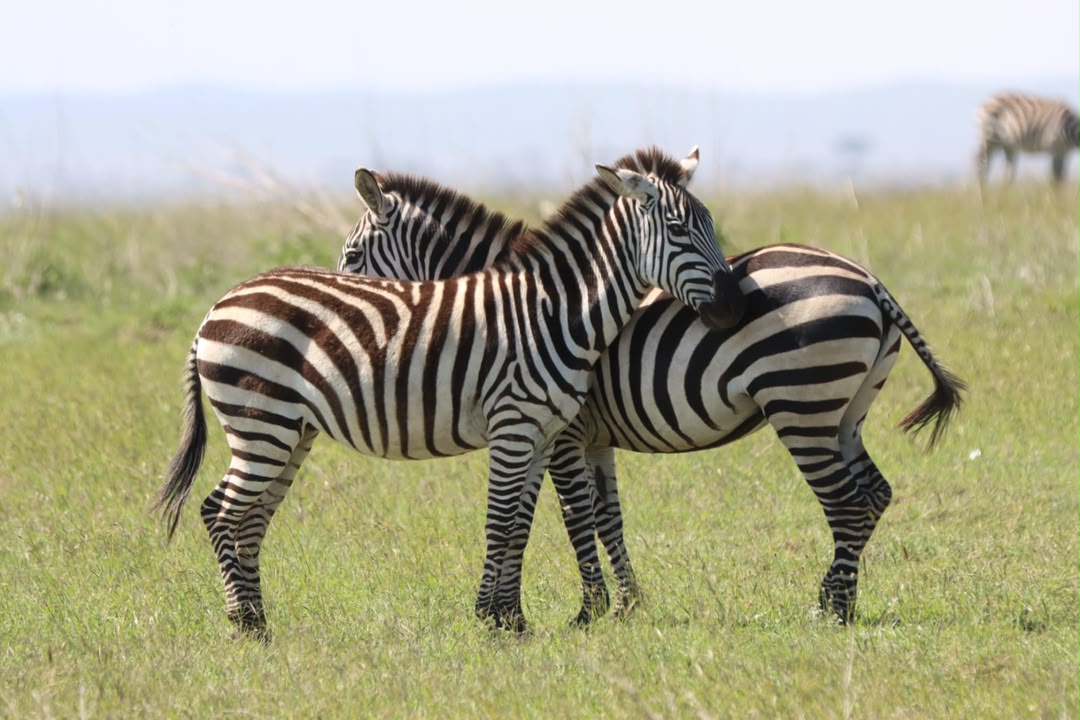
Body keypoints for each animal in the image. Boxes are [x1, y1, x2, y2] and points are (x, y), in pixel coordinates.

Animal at [156, 146, 746, 638]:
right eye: (678, 230)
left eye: (710, 226)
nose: (734, 306)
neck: (555, 309)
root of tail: (216, 307)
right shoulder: (520, 428)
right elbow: (515, 521)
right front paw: (497, 618)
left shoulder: (543, 433)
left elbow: (522, 526)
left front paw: (514, 620)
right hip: (262, 424)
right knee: (220, 511)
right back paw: (245, 626)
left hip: (288, 431)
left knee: (250, 517)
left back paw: (258, 622)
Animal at [338, 172, 966, 625]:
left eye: (349, 259)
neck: (529, 304)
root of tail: (868, 278)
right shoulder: (589, 437)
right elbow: (606, 517)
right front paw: (628, 604)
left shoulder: (563, 431)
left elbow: (570, 515)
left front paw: (588, 612)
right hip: (845, 412)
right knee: (874, 494)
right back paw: (843, 601)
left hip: (801, 406)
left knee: (846, 503)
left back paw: (830, 609)